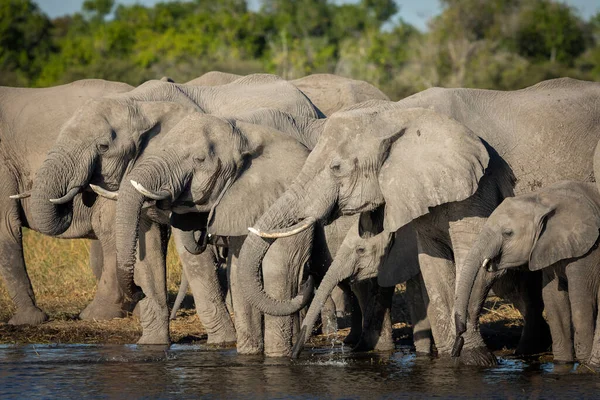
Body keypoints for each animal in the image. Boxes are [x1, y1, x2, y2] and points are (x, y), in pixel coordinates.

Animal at [454, 181, 600, 368]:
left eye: (508, 233)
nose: (459, 339)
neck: (542, 200)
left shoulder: (588, 251)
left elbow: (582, 299)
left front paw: (585, 363)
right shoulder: (547, 245)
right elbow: (553, 299)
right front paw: (562, 362)